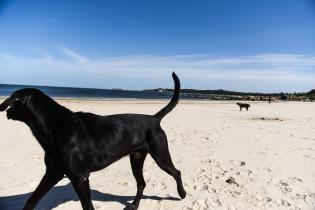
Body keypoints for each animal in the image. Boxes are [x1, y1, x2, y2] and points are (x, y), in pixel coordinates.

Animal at [0, 72, 186, 210]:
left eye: (12, 99)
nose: (4, 108)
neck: (54, 124)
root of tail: (154, 119)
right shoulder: (53, 173)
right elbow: (31, 201)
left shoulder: (80, 177)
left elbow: (87, 206)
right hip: (137, 159)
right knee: (141, 183)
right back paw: (134, 205)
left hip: (160, 155)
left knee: (176, 172)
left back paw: (182, 193)